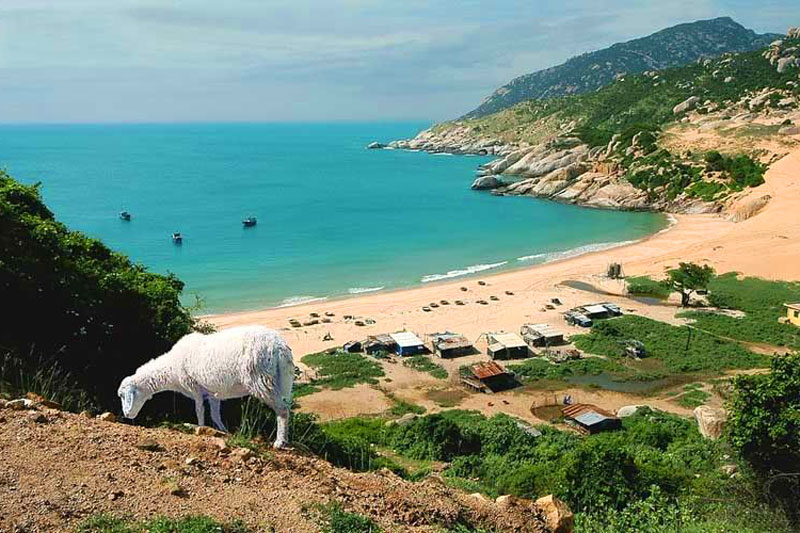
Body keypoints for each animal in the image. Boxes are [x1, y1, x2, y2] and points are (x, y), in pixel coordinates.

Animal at [117, 322, 296, 446]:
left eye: (122, 395)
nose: (126, 414)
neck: (171, 368)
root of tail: (278, 346)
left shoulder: (194, 388)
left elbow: (199, 411)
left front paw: (200, 428)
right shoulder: (212, 393)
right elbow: (215, 415)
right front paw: (224, 431)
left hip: (262, 378)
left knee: (282, 410)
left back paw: (279, 442)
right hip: (284, 380)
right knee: (286, 407)